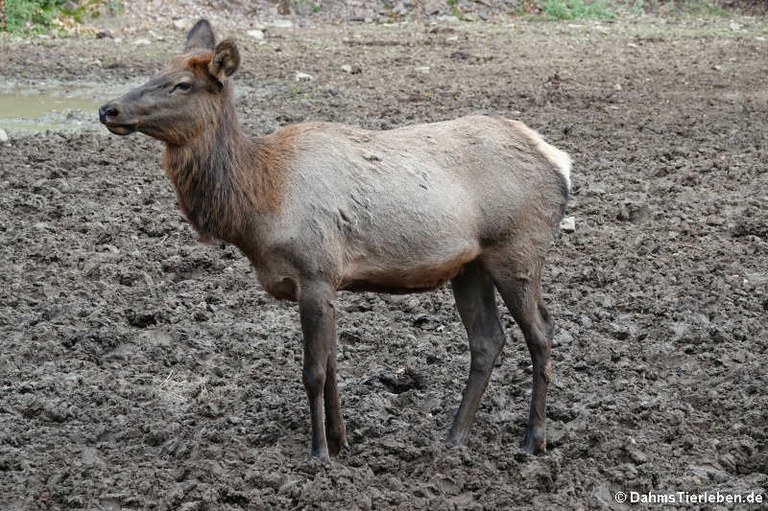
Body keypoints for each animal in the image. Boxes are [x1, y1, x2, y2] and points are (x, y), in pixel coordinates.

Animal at [99, 20, 572, 460]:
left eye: (182, 84)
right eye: (158, 70)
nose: (109, 109)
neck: (261, 203)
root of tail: (560, 161)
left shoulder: (315, 271)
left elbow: (313, 372)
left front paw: (320, 452)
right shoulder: (323, 283)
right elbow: (331, 366)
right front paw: (342, 440)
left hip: (518, 249)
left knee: (541, 331)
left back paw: (534, 439)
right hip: (470, 265)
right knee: (488, 339)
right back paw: (454, 437)